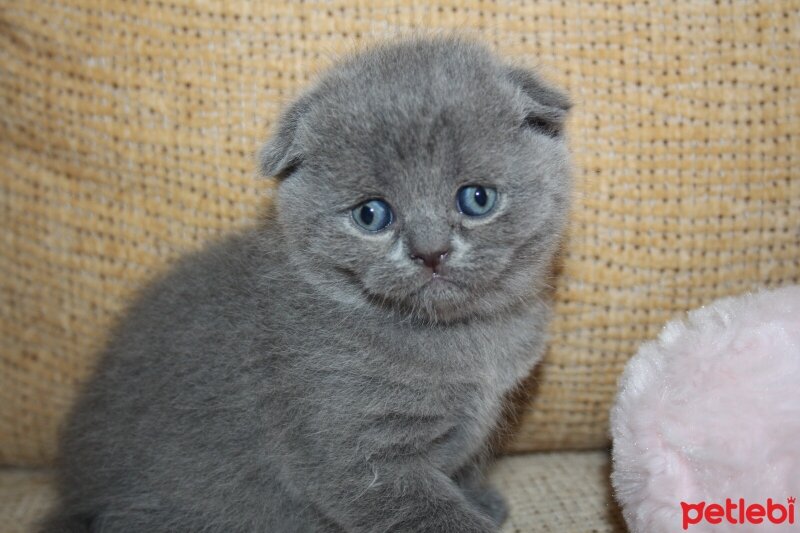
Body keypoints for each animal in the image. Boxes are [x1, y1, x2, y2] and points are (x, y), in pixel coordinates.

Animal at [43, 37, 572, 532]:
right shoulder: (354, 452)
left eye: (476, 199)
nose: (430, 251)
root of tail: (75, 497)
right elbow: (428, 515)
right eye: (372, 214)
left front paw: (480, 499)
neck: (468, 343)